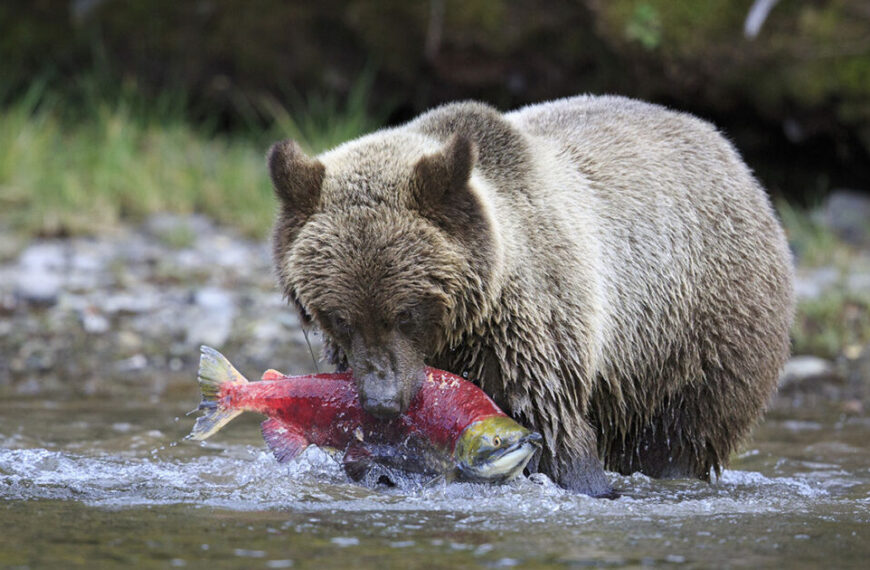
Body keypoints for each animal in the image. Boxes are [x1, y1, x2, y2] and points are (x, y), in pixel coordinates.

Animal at [267, 95, 795, 497]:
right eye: (339, 316)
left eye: (407, 313)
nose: (383, 400)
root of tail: (725, 146)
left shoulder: (529, 329)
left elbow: (551, 427)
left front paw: (586, 483)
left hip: (697, 329)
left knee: (680, 433)